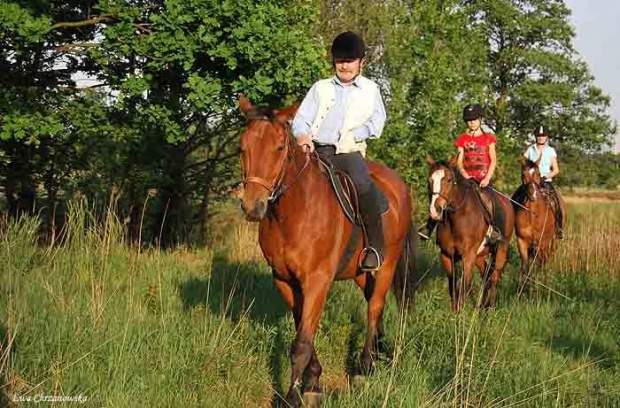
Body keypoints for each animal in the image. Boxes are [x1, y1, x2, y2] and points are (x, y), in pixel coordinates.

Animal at [237, 97, 416, 406]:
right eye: (242, 147)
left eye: (280, 147)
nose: (253, 206)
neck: (293, 211)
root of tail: (399, 186)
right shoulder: (285, 281)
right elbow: (303, 329)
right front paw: (313, 381)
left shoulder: (317, 280)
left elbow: (301, 342)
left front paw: (293, 395)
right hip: (361, 272)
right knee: (374, 304)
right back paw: (379, 352)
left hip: (387, 265)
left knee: (374, 307)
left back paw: (365, 367)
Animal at [424, 155, 516, 310]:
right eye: (429, 180)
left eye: (449, 180)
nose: (435, 210)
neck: (456, 219)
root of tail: (507, 202)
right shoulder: (446, 255)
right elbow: (453, 287)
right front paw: (454, 312)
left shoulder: (468, 256)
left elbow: (464, 287)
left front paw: (460, 314)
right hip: (479, 255)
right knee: (486, 274)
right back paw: (482, 306)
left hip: (501, 250)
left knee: (495, 277)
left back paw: (490, 308)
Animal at [512, 156, 568, 286]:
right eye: (523, 174)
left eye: (538, 173)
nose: (533, 194)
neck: (533, 215)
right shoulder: (521, 241)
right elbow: (525, 266)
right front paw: (524, 286)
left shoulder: (543, 242)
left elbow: (541, 261)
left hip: (552, 240)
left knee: (547, 257)